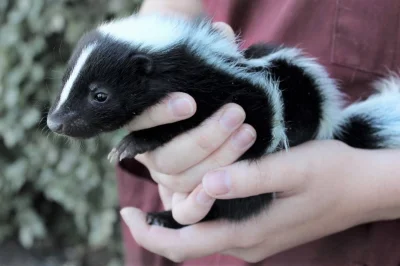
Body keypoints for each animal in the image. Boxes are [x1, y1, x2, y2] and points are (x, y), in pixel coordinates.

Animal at [45, 14, 400, 229]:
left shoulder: (226, 96)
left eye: (99, 95)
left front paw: (132, 143)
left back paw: (165, 218)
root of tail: (330, 125)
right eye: (65, 81)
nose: (56, 122)